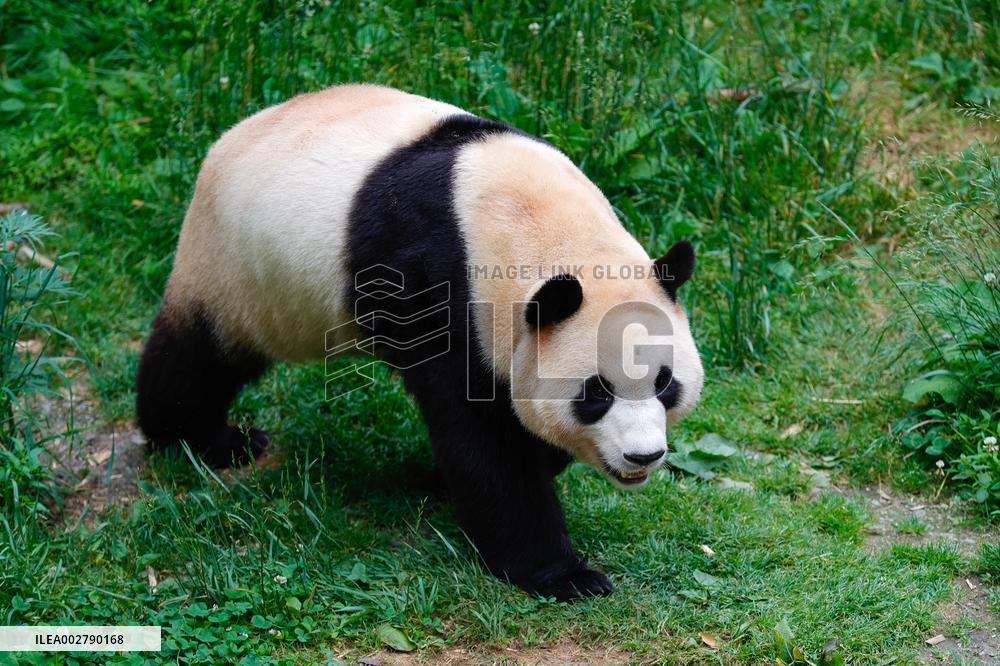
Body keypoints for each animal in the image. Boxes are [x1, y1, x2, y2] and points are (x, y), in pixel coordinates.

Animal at [136, 84, 704, 601]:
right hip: (236, 268)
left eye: (665, 383)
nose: (644, 456)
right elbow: (481, 439)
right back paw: (204, 440)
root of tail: (231, 136)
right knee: (199, 359)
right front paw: (565, 574)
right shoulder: (441, 286)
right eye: (596, 392)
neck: (529, 218)